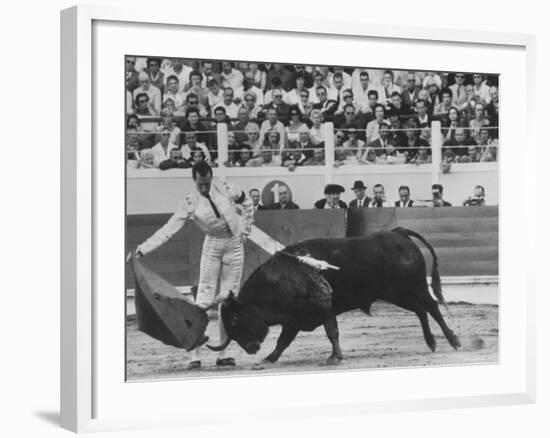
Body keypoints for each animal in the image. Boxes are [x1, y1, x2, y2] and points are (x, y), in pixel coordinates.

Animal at [207, 228, 462, 364]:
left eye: (236, 319)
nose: (250, 348)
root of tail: (397, 232)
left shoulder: (323, 306)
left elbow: (332, 332)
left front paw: (335, 357)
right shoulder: (294, 319)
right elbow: (283, 340)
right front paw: (270, 358)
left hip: (414, 287)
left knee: (432, 306)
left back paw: (453, 341)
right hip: (395, 293)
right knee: (421, 310)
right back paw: (431, 342)